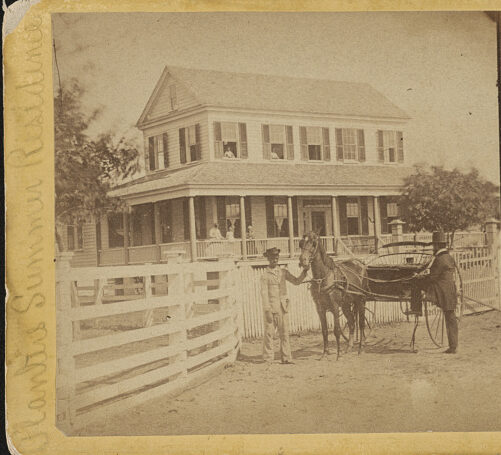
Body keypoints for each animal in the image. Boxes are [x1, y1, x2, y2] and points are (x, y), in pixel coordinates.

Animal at [298, 233, 370, 362]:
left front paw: (337, 354)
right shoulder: (320, 309)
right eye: (301, 243)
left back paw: (360, 348)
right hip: (346, 305)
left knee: (361, 323)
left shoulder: (335, 307)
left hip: (361, 300)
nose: (302, 261)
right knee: (352, 322)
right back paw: (348, 348)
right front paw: (324, 353)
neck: (323, 277)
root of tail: (361, 264)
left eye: (313, 244)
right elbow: (325, 331)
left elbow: (337, 331)